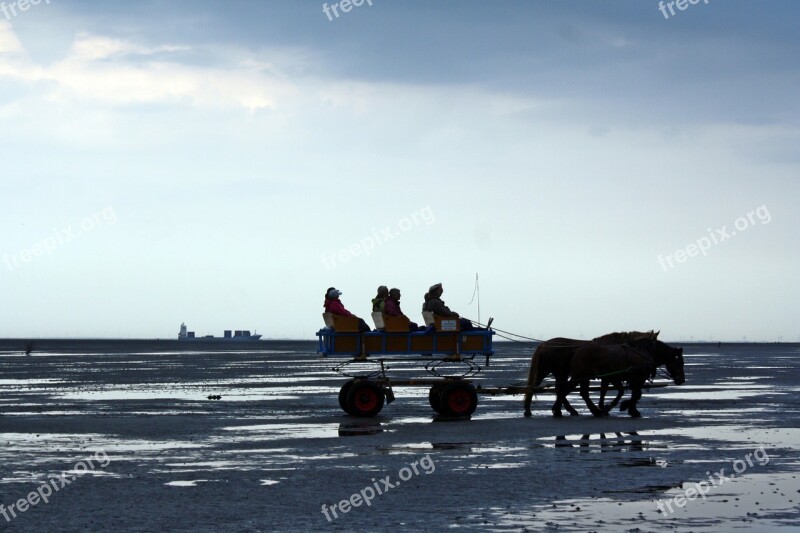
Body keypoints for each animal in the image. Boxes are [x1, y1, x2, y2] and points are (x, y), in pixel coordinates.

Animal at [520, 328, 660, 416]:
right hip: (561, 373)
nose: (652, 365)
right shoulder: (608, 376)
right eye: (655, 344)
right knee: (560, 389)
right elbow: (604, 391)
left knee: (543, 388)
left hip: (548, 371)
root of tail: (544, 345)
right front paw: (605, 407)